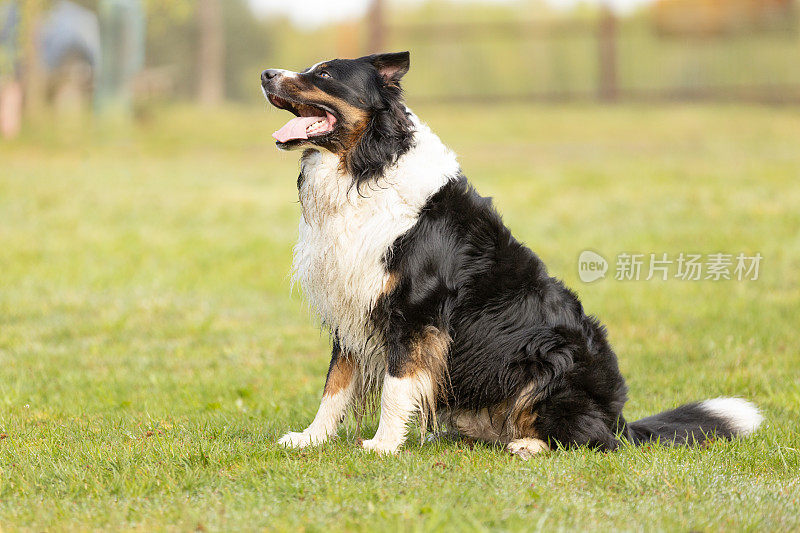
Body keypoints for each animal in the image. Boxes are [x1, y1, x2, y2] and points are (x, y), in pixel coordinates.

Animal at [262, 51, 764, 458]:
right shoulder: (350, 303)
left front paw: (383, 445)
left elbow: (395, 386)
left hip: (554, 358)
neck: (365, 168)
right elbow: (336, 384)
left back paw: (528, 444)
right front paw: (311, 438)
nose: (266, 74)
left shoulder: (414, 310)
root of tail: (621, 421)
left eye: (324, 74)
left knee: (591, 440)